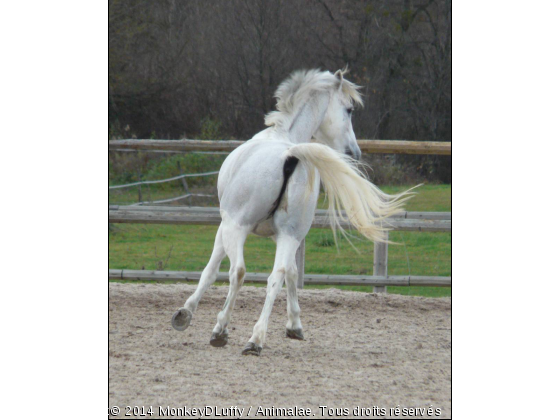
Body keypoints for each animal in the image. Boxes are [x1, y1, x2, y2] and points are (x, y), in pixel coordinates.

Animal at [172, 68, 412, 354]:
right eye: (349, 109)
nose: (354, 151)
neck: (284, 135)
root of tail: (291, 153)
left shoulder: (225, 226)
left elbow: (210, 271)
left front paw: (185, 313)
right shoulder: (284, 236)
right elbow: (292, 273)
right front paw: (294, 325)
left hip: (237, 228)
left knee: (238, 272)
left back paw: (222, 330)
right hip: (289, 235)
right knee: (276, 277)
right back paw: (256, 339)